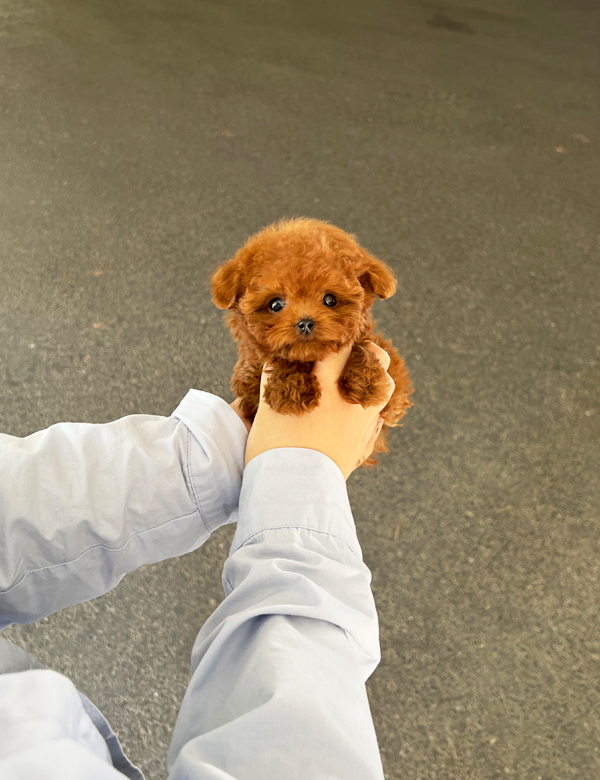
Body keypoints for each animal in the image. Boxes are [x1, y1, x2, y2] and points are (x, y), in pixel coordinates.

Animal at [211, 216, 412, 464]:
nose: (305, 322)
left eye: (330, 299)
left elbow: (363, 346)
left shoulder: (387, 359)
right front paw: (291, 392)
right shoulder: (249, 378)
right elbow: (278, 360)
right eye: (275, 304)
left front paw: (366, 382)